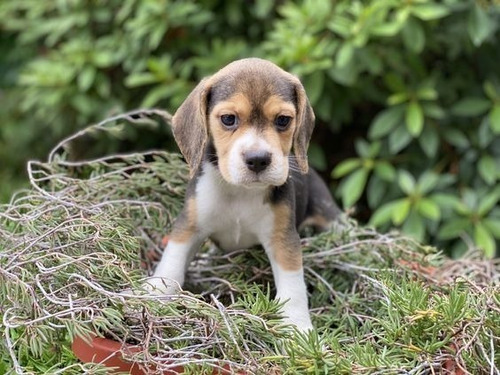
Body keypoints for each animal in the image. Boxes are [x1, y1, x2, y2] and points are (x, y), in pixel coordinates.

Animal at [146, 57, 342, 330]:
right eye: (228, 119)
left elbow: (293, 284)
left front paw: (297, 327)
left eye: (283, 120)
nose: (258, 159)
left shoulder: (282, 238)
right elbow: (171, 262)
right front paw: (153, 292)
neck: (240, 191)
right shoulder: (189, 225)